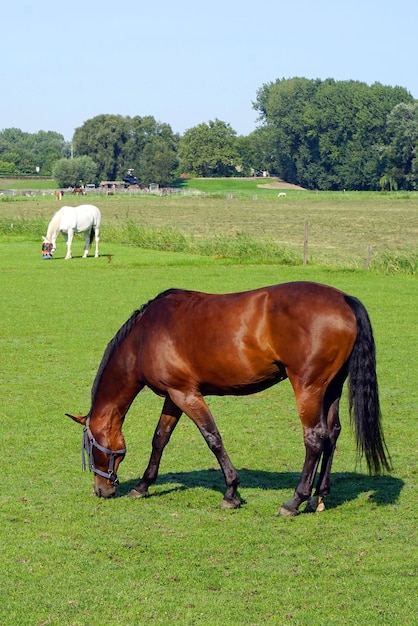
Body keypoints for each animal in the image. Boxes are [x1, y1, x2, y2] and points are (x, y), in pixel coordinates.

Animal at [67, 280, 390, 516]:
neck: (144, 336)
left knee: (315, 438)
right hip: (331, 388)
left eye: (90, 449)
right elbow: (160, 438)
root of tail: (344, 299)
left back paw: (294, 502)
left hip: (308, 387)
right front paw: (143, 485)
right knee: (332, 434)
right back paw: (318, 498)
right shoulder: (173, 395)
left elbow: (213, 438)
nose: (101, 490)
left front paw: (231, 493)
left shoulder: (187, 394)